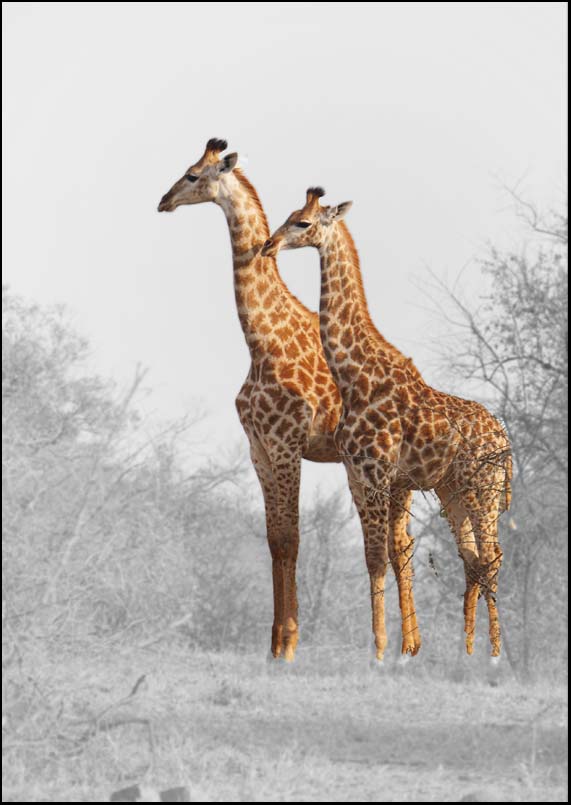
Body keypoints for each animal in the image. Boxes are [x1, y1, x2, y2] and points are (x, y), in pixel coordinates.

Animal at [158, 140, 422, 660]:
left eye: (193, 175)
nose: (163, 201)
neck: (259, 342)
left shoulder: (286, 445)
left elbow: (293, 537)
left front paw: (289, 644)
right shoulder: (258, 449)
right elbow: (275, 539)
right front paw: (274, 643)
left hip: (387, 472)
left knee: (398, 541)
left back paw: (406, 644)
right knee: (398, 540)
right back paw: (411, 643)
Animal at [262, 188, 513, 659]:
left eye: (303, 223)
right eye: (288, 215)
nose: (268, 245)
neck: (353, 375)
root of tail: (507, 444)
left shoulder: (377, 473)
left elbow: (379, 557)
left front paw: (379, 651)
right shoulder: (360, 475)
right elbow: (374, 556)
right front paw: (395, 648)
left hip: (484, 491)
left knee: (492, 556)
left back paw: (493, 654)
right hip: (452, 491)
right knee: (472, 559)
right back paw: (467, 650)